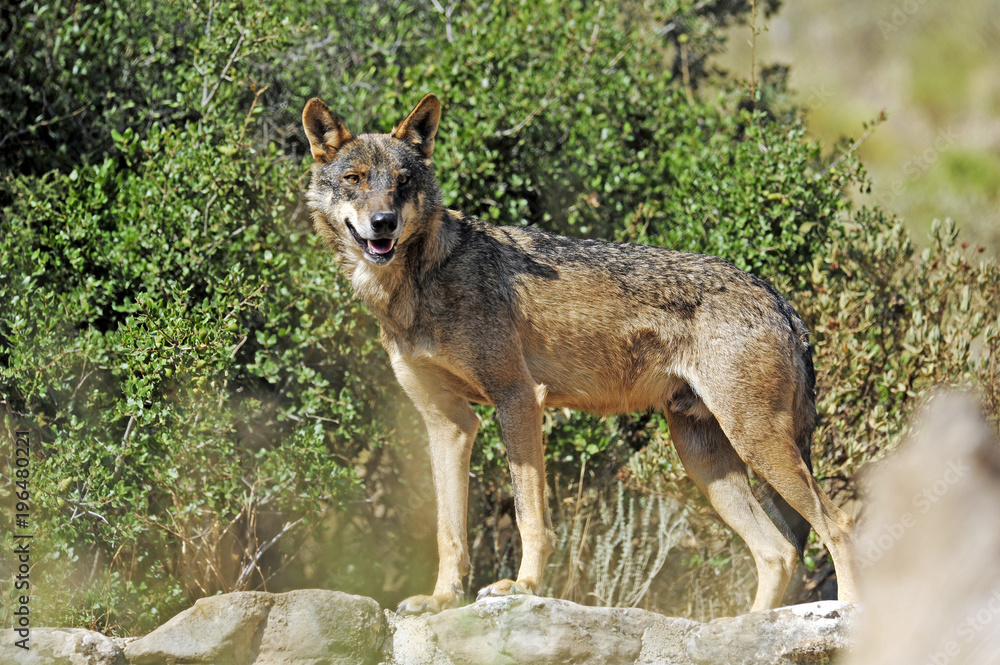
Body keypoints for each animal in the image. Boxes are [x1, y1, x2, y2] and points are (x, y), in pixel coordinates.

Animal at [302, 93, 859, 615]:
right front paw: (441, 600)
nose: (383, 223)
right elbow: (449, 530)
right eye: (354, 179)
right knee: (778, 552)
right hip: (707, 460)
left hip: (756, 443)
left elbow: (530, 516)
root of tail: (781, 300)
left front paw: (522, 587)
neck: (415, 285)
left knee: (838, 524)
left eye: (401, 182)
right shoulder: (449, 421)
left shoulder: (518, 398)